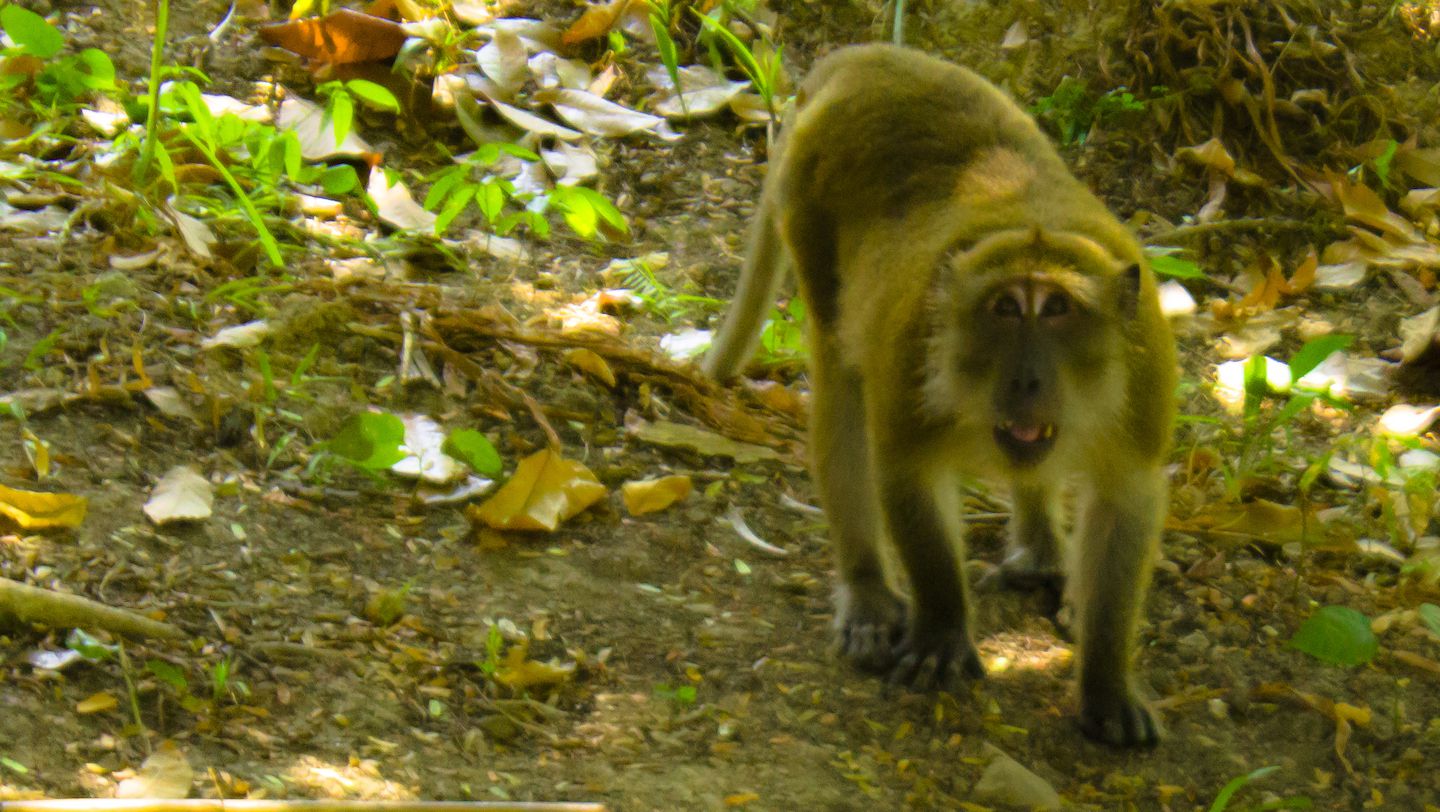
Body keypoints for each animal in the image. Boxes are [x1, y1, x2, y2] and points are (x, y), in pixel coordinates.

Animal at [702, 44, 1177, 747]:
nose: (1026, 380)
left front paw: (1106, 680)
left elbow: (1126, 500)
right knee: (841, 378)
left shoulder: (1145, 382)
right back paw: (869, 593)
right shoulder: (911, 355)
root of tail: (868, 57)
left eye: (1058, 310)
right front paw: (944, 630)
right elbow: (907, 474)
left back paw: (1041, 552)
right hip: (808, 204)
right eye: (1006, 309)